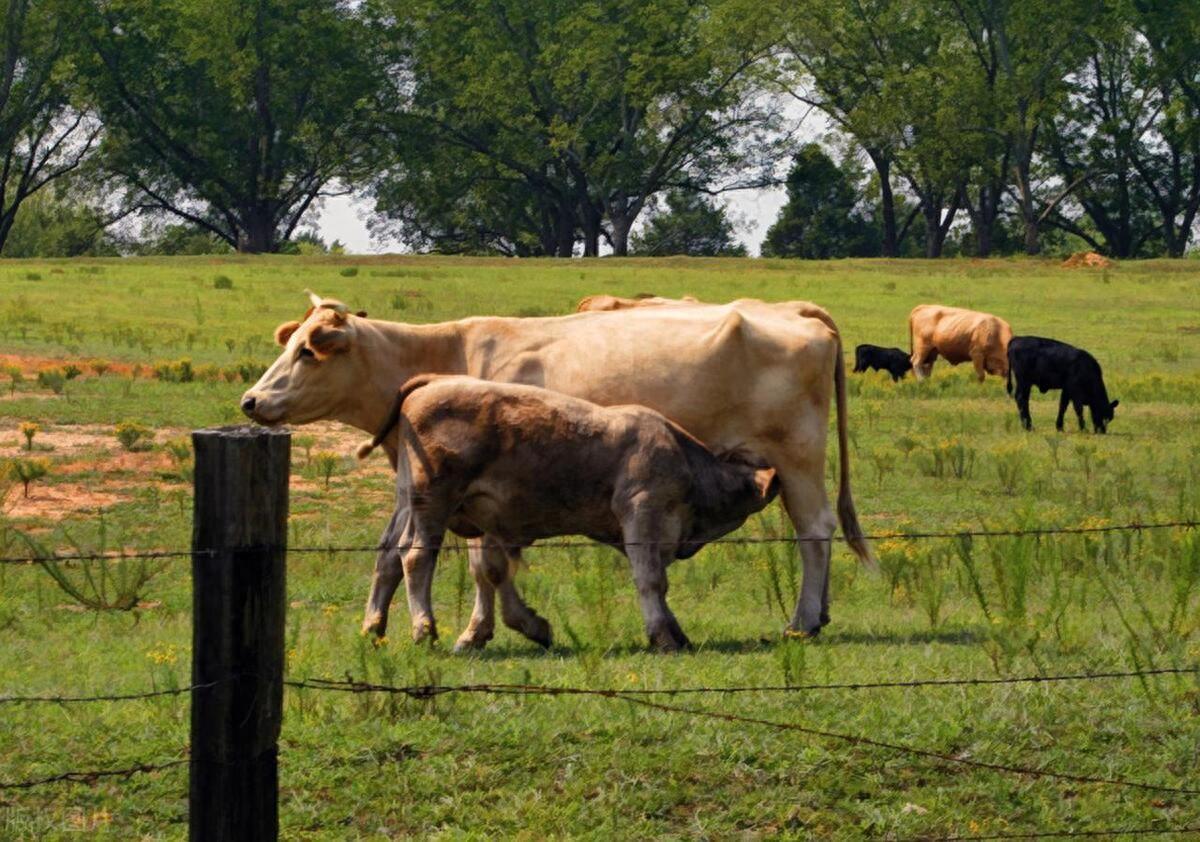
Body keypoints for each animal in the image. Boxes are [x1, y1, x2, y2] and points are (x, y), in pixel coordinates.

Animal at [350, 376, 782, 652]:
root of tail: (428, 385)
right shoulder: (641, 512)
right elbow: (651, 580)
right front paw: (662, 635)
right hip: (432, 504)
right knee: (416, 558)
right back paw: (424, 629)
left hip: (407, 501)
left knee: (387, 557)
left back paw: (374, 627)